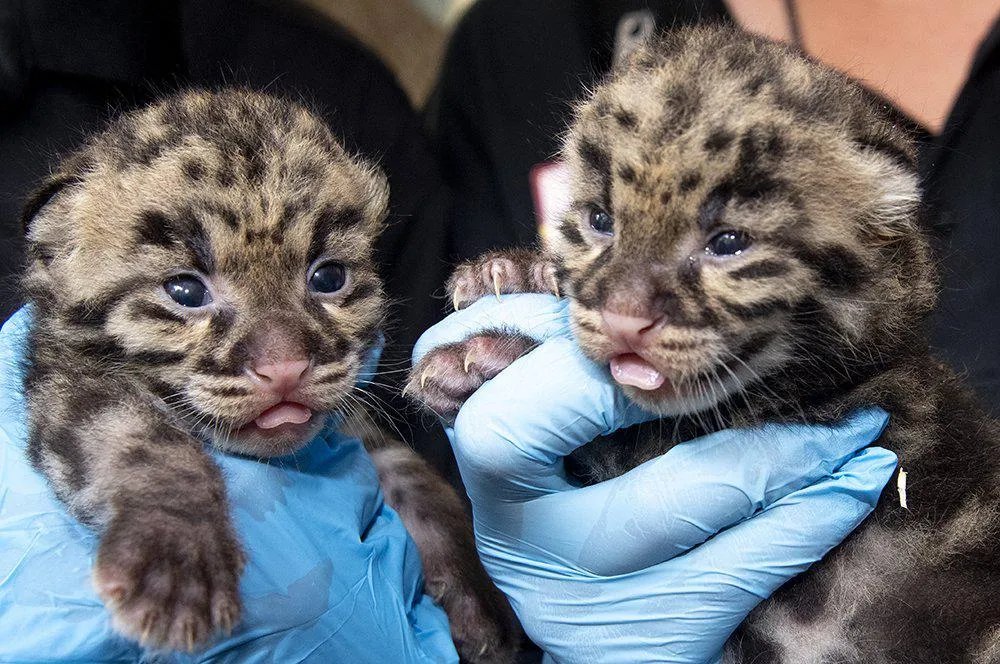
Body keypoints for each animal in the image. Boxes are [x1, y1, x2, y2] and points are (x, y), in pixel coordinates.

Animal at [20, 88, 517, 661]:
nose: (284, 369)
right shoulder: (69, 380)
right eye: (185, 290)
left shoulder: (355, 428)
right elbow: (144, 441)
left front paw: (480, 594)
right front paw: (175, 561)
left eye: (329, 277)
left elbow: (418, 480)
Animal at [408, 25, 1000, 663]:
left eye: (728, 242)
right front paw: (514, 278)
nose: (622, 317)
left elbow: (637, 444)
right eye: (601, 220)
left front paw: (485, 357)